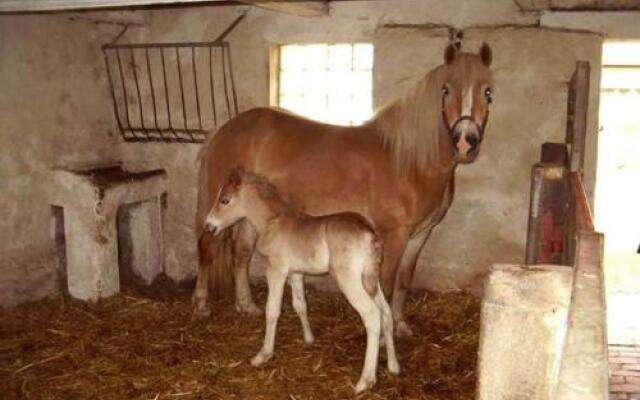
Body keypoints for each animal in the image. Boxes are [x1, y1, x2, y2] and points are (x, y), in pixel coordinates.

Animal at [195, 42, 496, 334]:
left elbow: (403, 281)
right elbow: (385, 286)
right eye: (445, 90)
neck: (408, 161)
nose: (465, 142)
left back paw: (246, 306)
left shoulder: (420, 235)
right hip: (219, 209)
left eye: (488, 92)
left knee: (241, 254)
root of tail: (224, 129)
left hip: (246, 212)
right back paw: (201, 305)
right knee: (207, 247)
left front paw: (400, 325)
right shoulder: (394, 235)